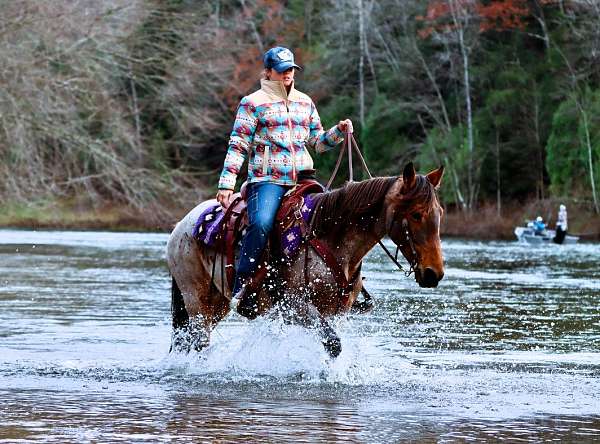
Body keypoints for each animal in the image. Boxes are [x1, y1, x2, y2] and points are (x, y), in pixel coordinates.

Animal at [166, 163, 442, 358]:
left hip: (218, 302)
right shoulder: (296, 306)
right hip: (195, 299)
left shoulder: (337, 310)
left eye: (439, 212)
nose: (434, 273)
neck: (330, 237)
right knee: (198, 340)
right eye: (416, 214)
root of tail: (181, 225)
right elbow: (333, 344)